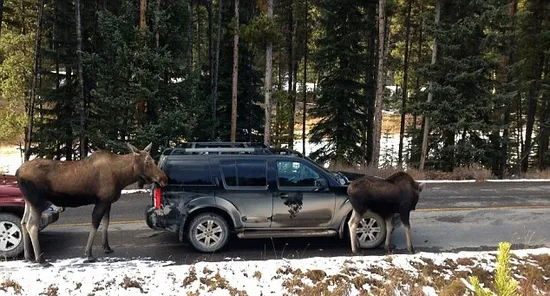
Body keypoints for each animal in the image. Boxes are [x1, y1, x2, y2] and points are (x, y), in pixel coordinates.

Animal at [17, 142, 168, 266]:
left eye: (153, 160)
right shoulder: (101, 200)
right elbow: (95, 224)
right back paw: (40, 259)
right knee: (32, 225)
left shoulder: (108, 202)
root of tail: (17, 173)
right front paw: (89, 254)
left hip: (28, 202)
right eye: (147, 162)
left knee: (23, 222)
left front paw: (106, 247)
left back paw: (28, 256)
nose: (164, 179)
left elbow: (106, 223)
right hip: (37, 201)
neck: (122, 177)